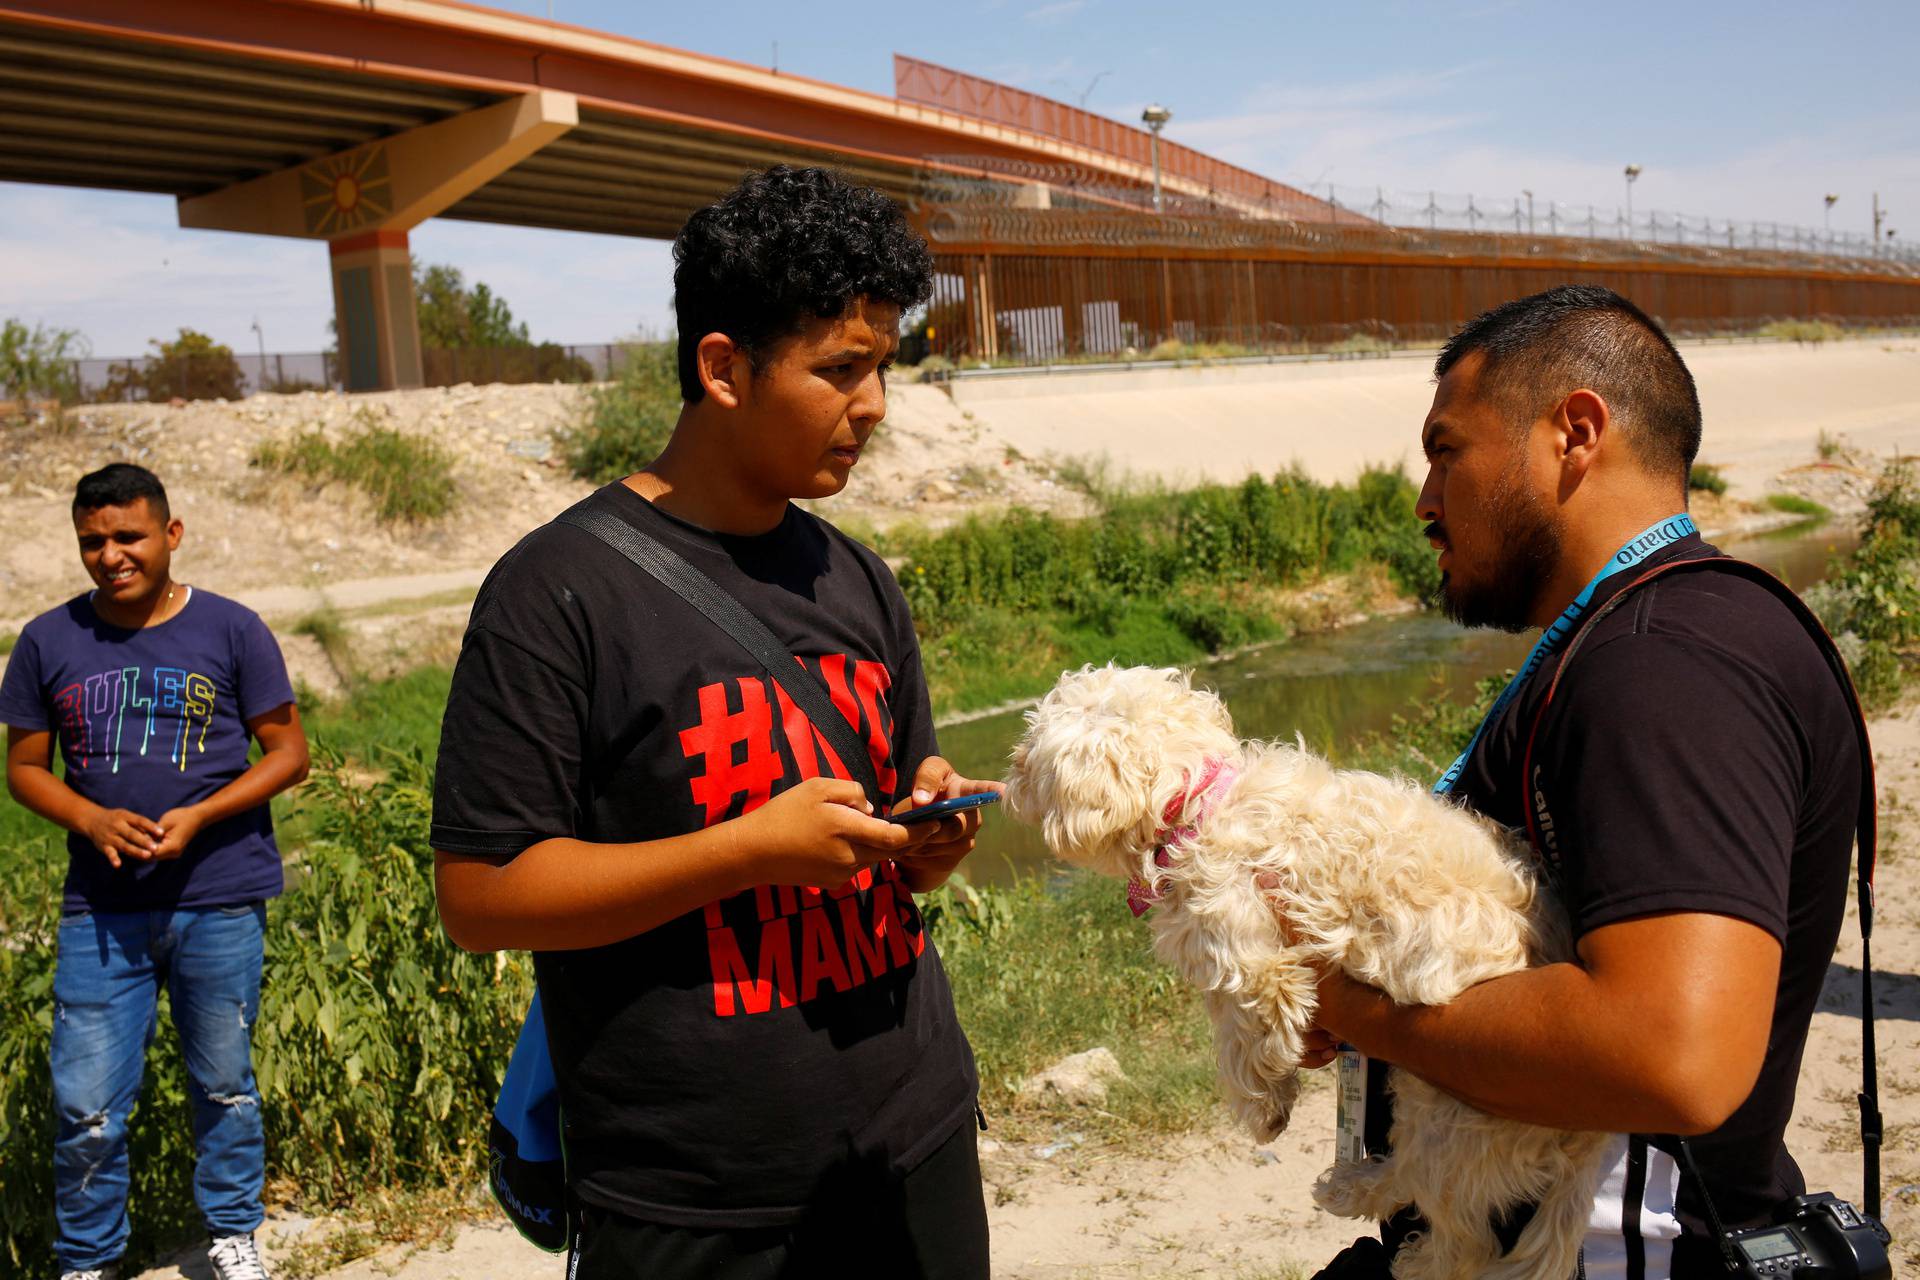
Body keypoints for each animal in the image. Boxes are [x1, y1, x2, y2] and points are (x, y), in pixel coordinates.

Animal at [1006, 667, 1620, 1280]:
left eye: (1030, 755)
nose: (1007, 772)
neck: (1199, 801)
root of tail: (1591, 1139)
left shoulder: (1246, 957)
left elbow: (1242, 1039)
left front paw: (1263, 1107)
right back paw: (1351, 1187)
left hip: (1449, 1120)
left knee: (1464, 1238)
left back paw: (1408, 1254)